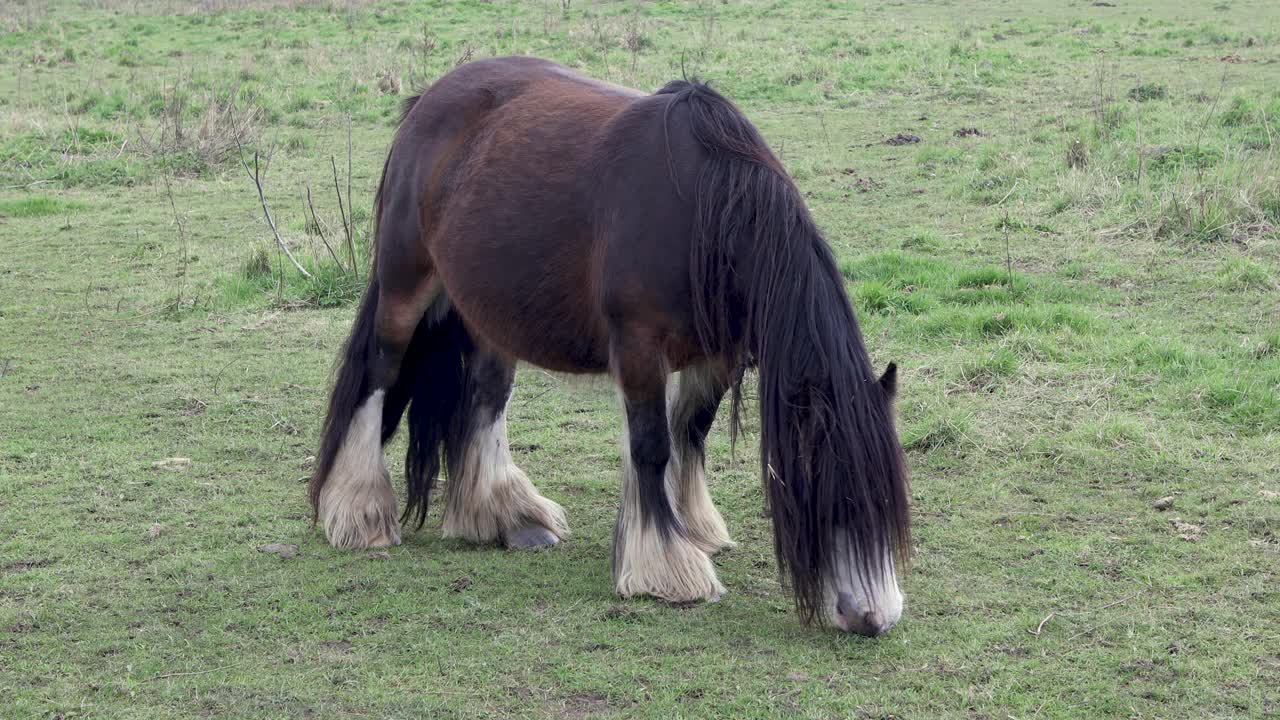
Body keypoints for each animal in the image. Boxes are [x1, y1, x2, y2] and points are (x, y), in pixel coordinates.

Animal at [308, 58, 911, 635]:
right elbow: (652, 446)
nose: (874, 619)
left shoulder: (717, 356)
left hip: (488, 314)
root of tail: (424, 102)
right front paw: (668, 567)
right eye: (835, 493)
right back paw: (361, 512)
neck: (705, 210)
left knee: (485, 399)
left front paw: (693, 530)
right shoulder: (640, 349)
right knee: (378, 377)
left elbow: (690, 432)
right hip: (405, 290)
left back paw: (503, 516)